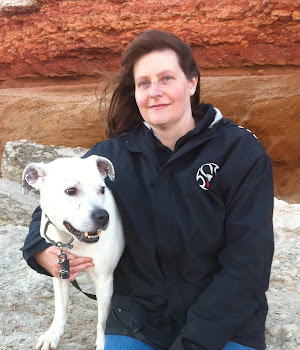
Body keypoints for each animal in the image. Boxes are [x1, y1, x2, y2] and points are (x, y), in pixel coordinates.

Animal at [22, 156, 124, 350]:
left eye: (102, 189)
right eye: (71, 190)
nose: (103, 216)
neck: (71, 240)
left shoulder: (104, 280)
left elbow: (102, 320)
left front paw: (102, 341)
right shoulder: (60, 271)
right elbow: (60, 308)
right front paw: (53, 334)